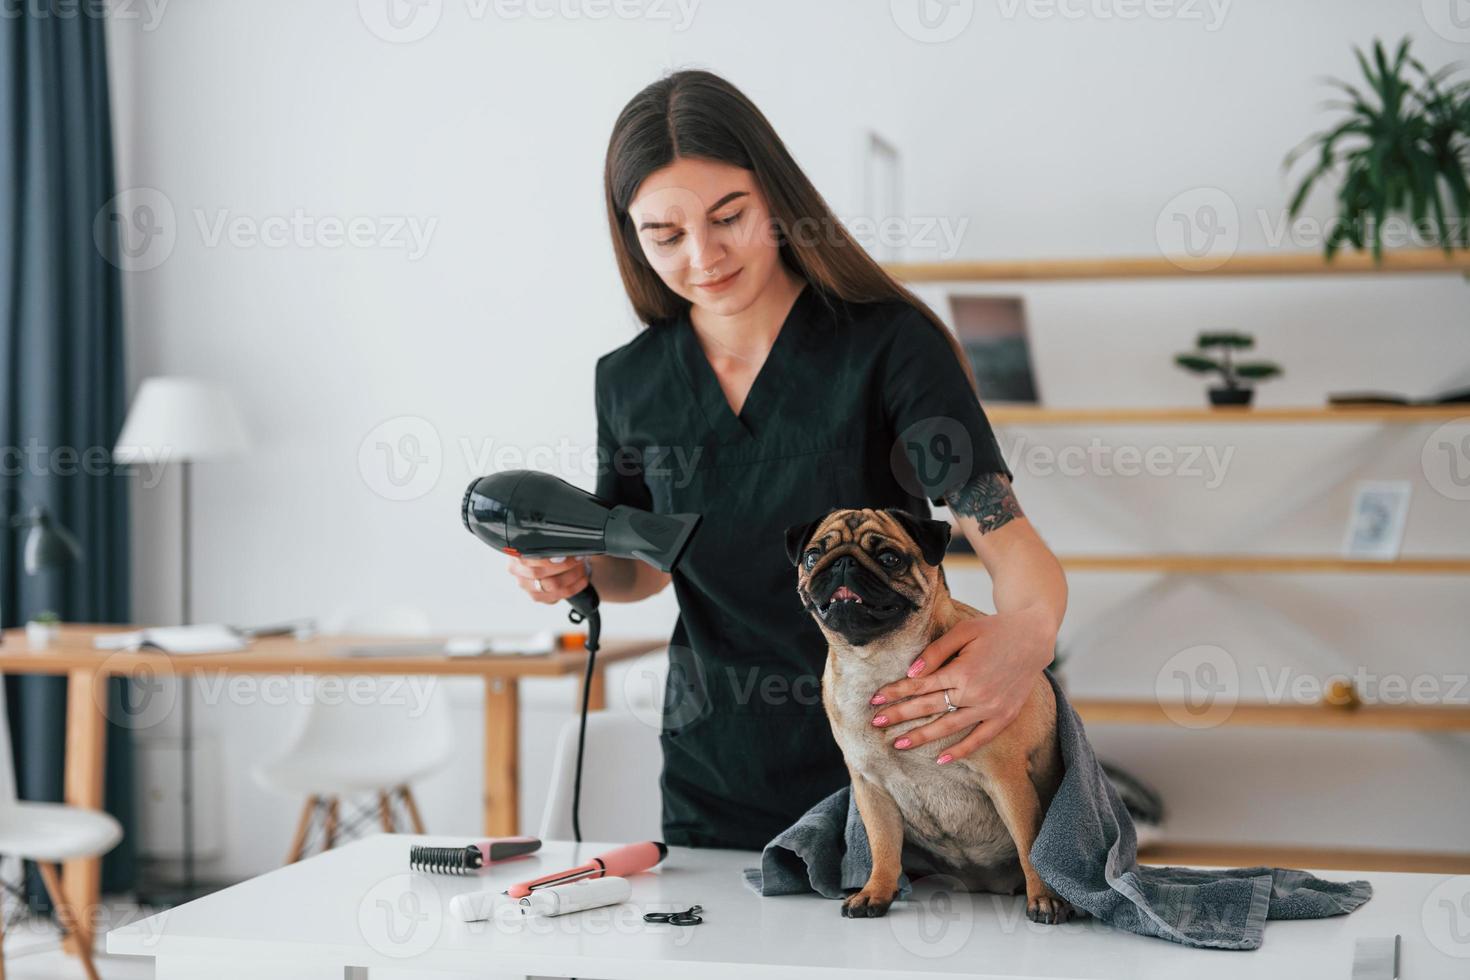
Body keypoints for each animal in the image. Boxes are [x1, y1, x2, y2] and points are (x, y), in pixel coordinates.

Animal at [787, 511, 1076, 922]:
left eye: (890, 558)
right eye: (812, 557)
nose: (842, 562)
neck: (878, 664)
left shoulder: (1006, 780)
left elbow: (1031, 842)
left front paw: (1046, 896)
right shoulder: (870, 788)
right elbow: (882, 846)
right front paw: (875, 892)